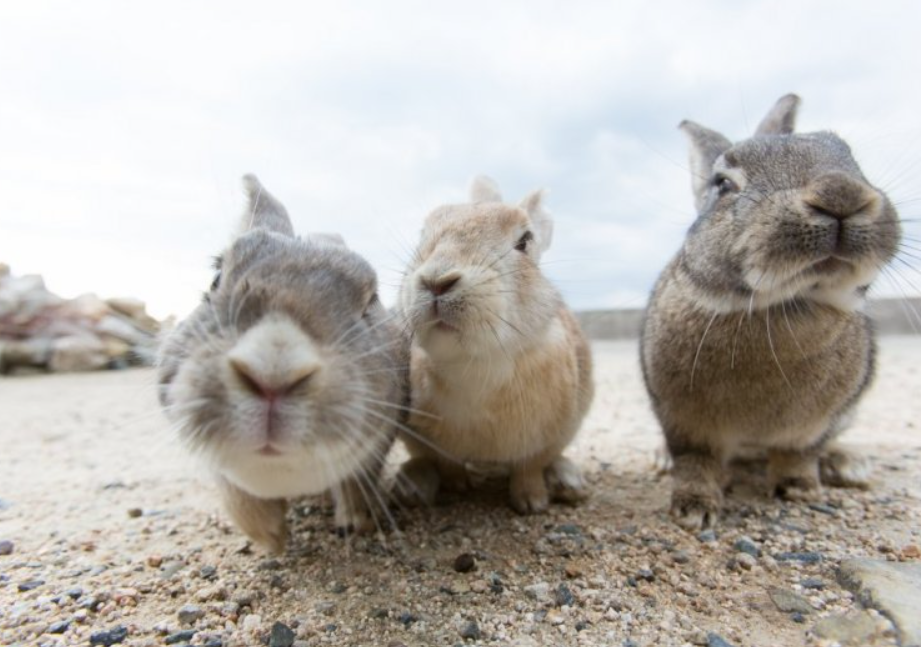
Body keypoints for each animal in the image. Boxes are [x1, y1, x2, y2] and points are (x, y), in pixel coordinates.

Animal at [158, 175, 406, 556]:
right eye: (216, 278)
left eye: (370, 303)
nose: (272, 376)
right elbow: (237, 497)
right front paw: (271, 539)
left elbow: (356, 482)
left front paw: (354, 524)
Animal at [640, 96, 900, 532]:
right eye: (722, 184)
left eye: (850, 157)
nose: (841, 194)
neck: (781, 304)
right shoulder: (684, 421)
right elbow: (696, 461)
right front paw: (694, 509)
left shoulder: (813, 426)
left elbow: (798, 454)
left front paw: (800, 490)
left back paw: (847, 464)